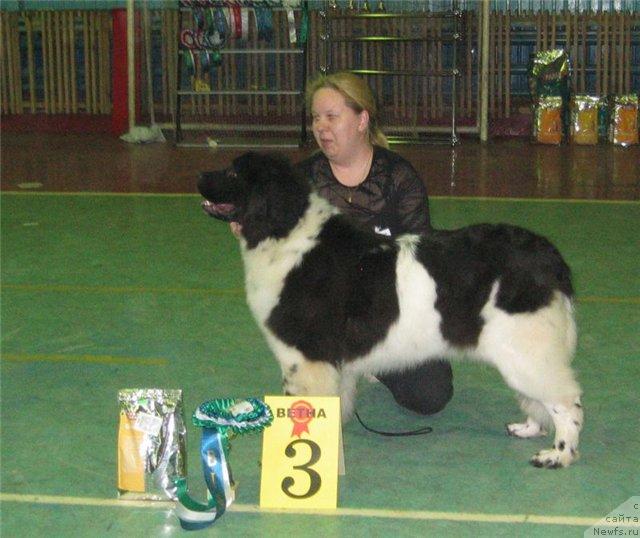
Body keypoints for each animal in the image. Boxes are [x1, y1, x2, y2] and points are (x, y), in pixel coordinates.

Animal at [198, 151, 584, 464]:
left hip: (525, 348)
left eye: (233, 173)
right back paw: (529, 427)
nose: (199, 178)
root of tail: (548, 255)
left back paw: (558, 454)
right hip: (519, 351)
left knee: (567, 401)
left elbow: (302, 409)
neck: (286, 234)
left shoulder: (305, 358)